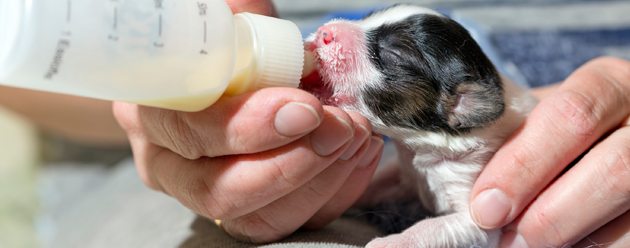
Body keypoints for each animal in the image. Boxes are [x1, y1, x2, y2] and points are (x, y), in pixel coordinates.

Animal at [302, 4, 540, 248]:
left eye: (392, 54)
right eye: (366, 17)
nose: (324, 32)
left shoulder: (480, 211)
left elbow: (431, 227)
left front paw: (389, 242)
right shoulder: (405, 173)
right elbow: (379, 183)